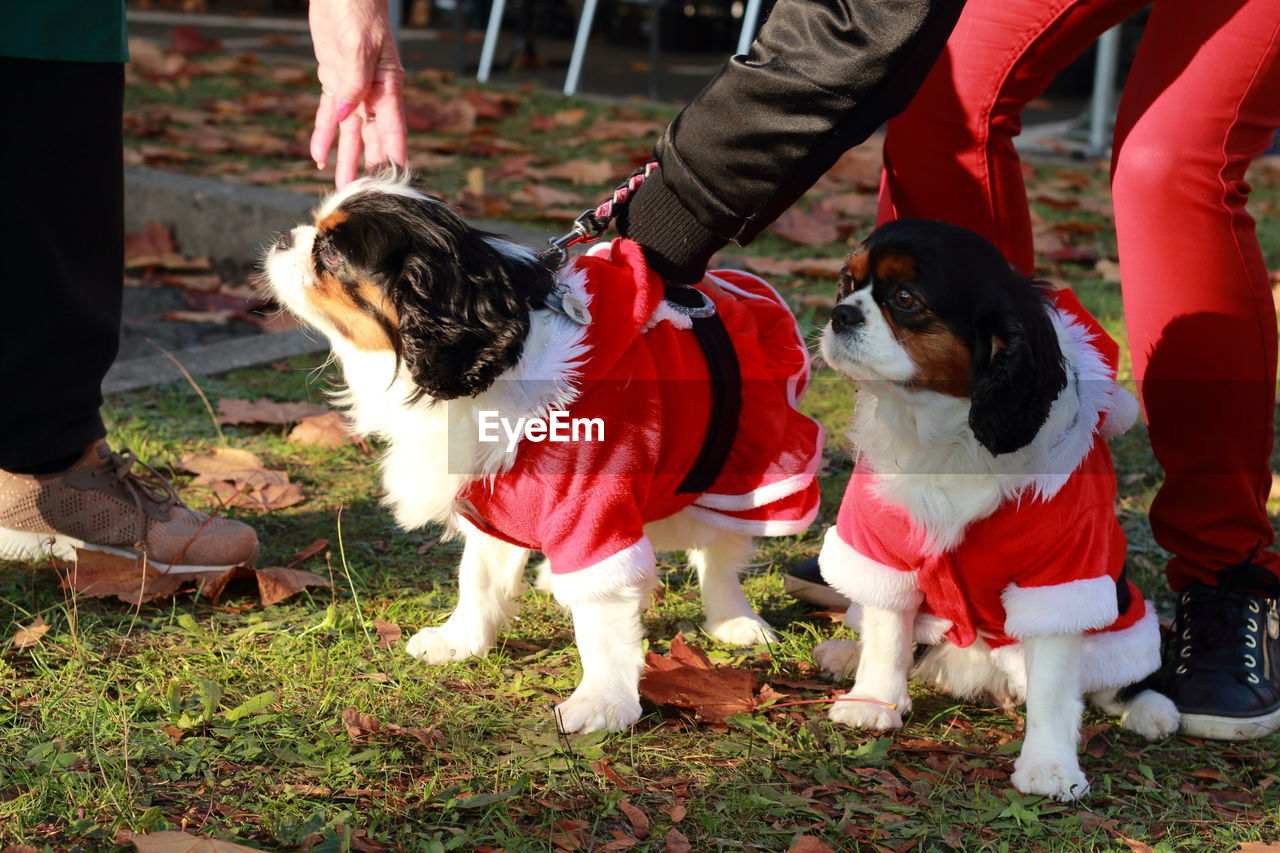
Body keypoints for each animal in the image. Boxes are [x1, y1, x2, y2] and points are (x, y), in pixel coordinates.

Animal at [266, 174, 824, 732]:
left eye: (330, 255)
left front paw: (602, 702)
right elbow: (479, 578)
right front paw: (461, 640)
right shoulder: (495, 498)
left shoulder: (593, 507)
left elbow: (603, 615)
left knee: (719, 555)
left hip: (744, 473)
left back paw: (735, 620)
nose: (283, 238)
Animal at [814, 217, 1172, 799]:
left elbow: (1053, 686)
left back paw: (1151, 708)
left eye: (906, 299)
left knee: (1126, 676)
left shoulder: (1060, 574)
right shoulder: (883, 547)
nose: (839, 313)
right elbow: (889, 628)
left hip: (1122, 613)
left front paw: (1049, 767)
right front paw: (873, 701)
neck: (943, 428)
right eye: (847, 284)